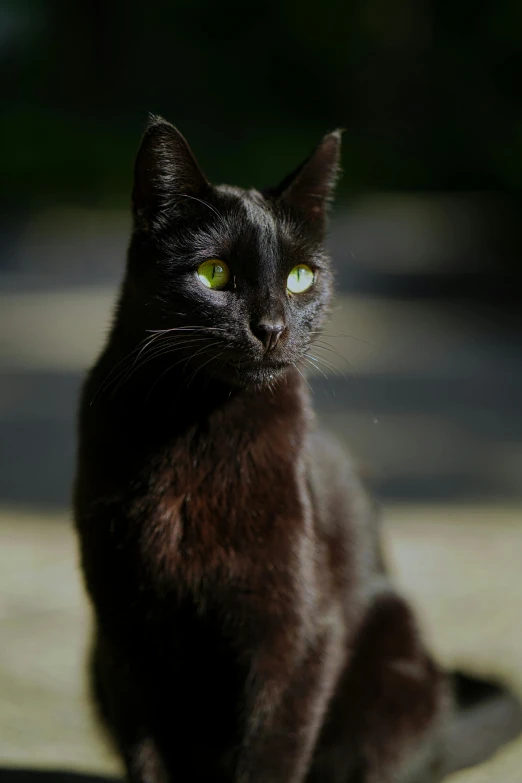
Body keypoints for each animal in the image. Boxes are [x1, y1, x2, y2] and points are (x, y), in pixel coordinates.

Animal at [74, 118, 520, 783]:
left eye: (301, 278)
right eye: (213, 274)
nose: (272, 328)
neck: (193, 427)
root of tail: (442, 733)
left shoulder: (297, 628)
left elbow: (272, 749)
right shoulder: (123, 628)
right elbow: (148, 755)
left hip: (394, 664)